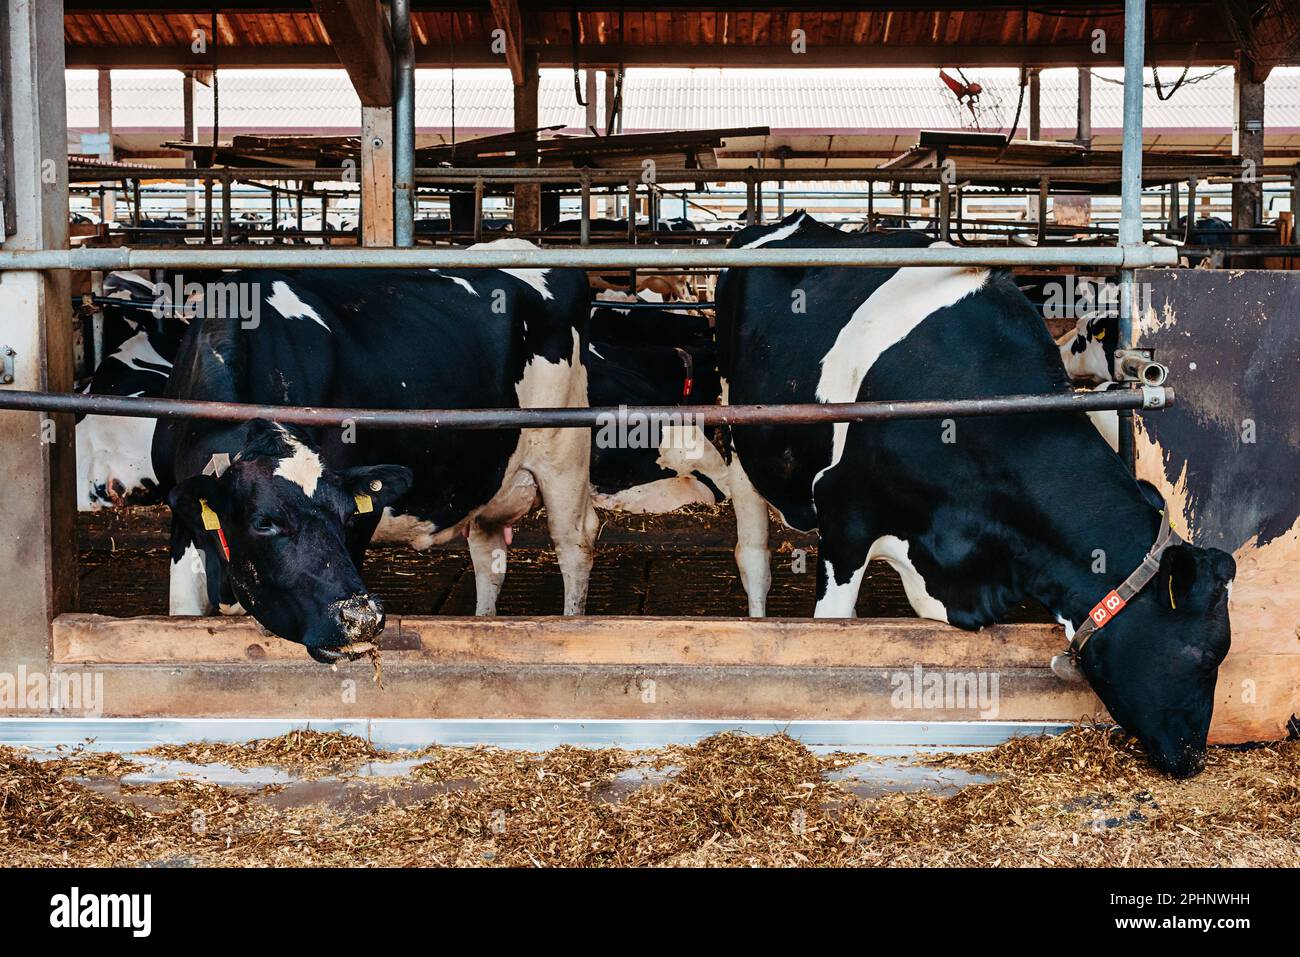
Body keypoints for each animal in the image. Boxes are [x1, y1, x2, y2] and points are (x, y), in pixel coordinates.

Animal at [157, 240, 598, 657]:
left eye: (346, 515)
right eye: (263, 522)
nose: (360, 617)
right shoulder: (183, 524)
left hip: (566, 450)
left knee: (573, 542)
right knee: (488, 553)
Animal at [717, 210, 1232, 780]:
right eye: (1206, 656)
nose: (1193, 757)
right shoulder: (844, 520)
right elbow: (832, 632)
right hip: (737, 435)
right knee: (753, 556)